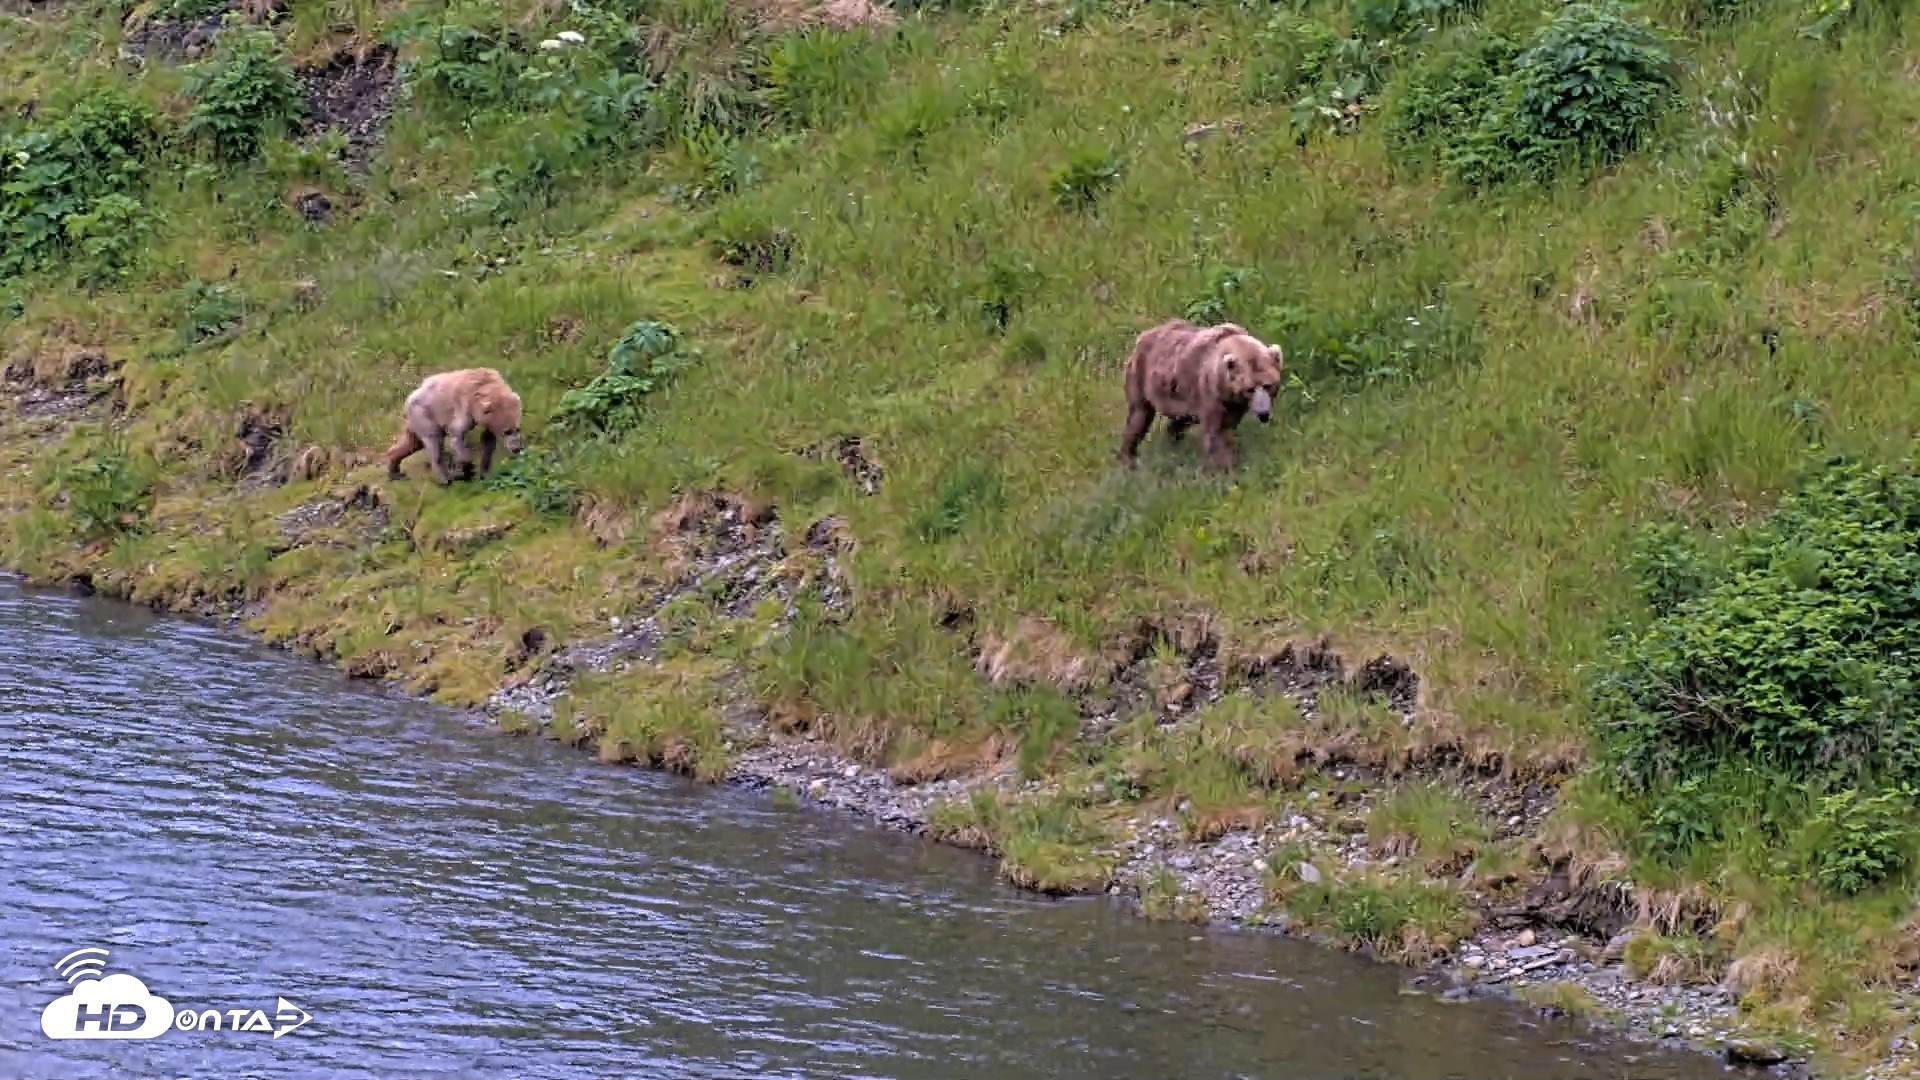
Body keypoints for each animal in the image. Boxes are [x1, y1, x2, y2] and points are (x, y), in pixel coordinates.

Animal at [384, 367, 525, 486]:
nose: (516, 448)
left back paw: (394, 470)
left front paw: (484, 472)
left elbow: (488, 441)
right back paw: (446, 479)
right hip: (424, 415)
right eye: (507, 431)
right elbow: (457, 435)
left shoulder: (487, 421)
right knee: (434, 444)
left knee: (412, 444)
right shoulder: (464, 407)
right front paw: (466, 470)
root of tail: (408, 399)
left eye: (517, 428)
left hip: (417, 423)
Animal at [1117, 319, 1283, 472]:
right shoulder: (1208, 392)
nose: (1263, 413)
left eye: (1268, 385)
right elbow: (1216, 432)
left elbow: (1228, 425)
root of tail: (1143, 336)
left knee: (1179, 422)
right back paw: (1128, 458)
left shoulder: (1234, 403)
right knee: (1139, 416)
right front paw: (1226, 465)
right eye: (1249, 388)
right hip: (1142, 378)